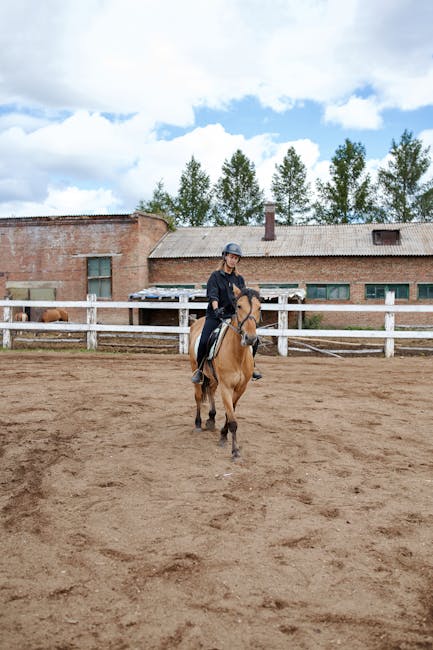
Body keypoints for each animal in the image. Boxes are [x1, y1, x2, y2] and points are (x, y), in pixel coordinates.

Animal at [188, 286, 260, 458]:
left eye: (260, 307)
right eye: (239, 306)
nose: (250, 338)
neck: (237, 355)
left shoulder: (240, 389)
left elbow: (230, 412)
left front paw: (223, 435)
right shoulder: (226, 387)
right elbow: (232, 419)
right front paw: (235, 451)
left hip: (214, 378)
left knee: (211, 390)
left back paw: (211, 418)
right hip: (195, 368)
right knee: (198, 396)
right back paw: (198, 423)